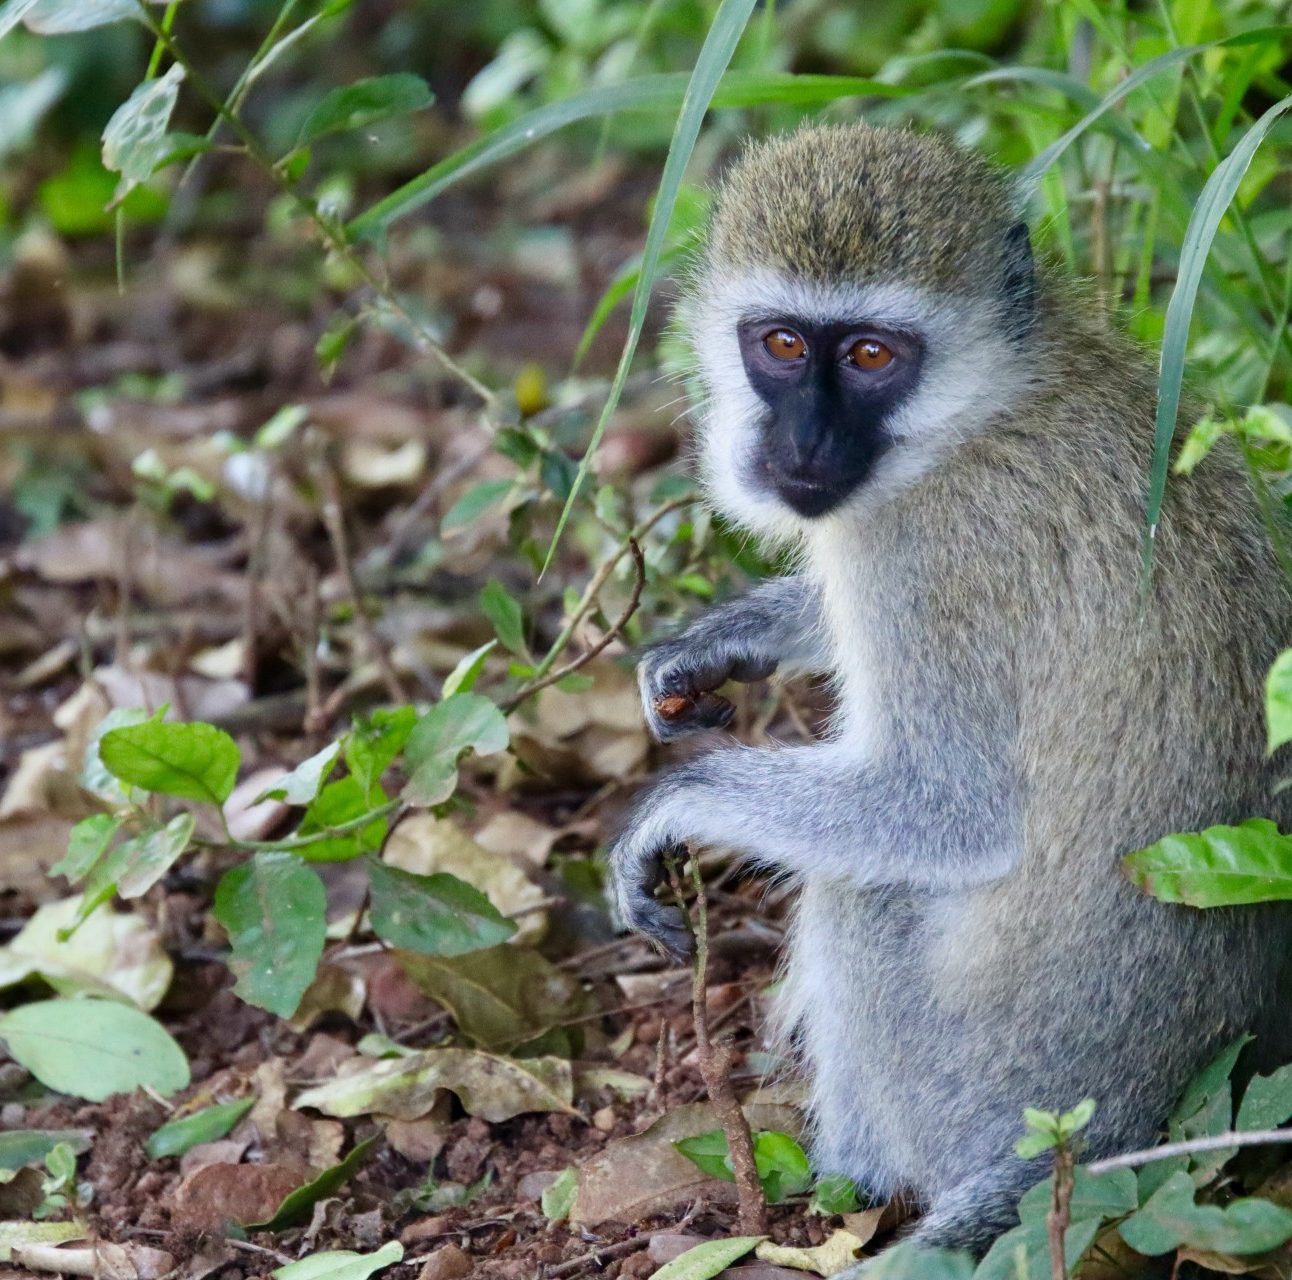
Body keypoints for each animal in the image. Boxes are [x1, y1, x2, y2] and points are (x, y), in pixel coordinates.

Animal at [607, 125, 1292, 1255]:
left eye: (872, 356)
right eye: (781, 344)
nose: (801, 445)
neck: (984, 409)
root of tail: (1124, 1114)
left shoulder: (926, 555)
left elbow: (949, 809)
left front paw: (674, 805)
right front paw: (722, 643)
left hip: (974, 1083)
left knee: (863, 885)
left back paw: (849, 1181)